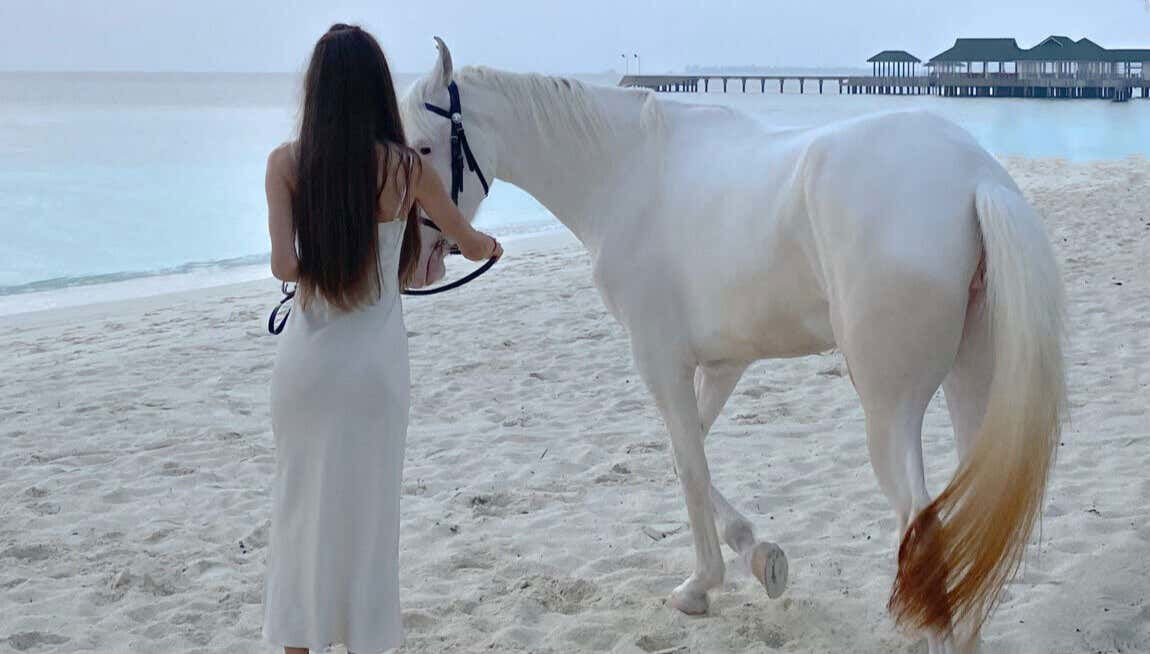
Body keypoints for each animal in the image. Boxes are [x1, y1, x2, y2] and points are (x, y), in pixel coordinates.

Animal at [401, 38, 1066, 653]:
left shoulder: (660, 360)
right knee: (972, 518)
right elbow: (686, 455)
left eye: (426, 150)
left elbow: (689, 465)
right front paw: (758, 556)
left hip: (889, 408)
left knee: (922, 527)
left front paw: (701, 585)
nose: (421, 260)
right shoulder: (723, 364)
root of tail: (974, 177)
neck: (627, 173)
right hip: (972, 384)